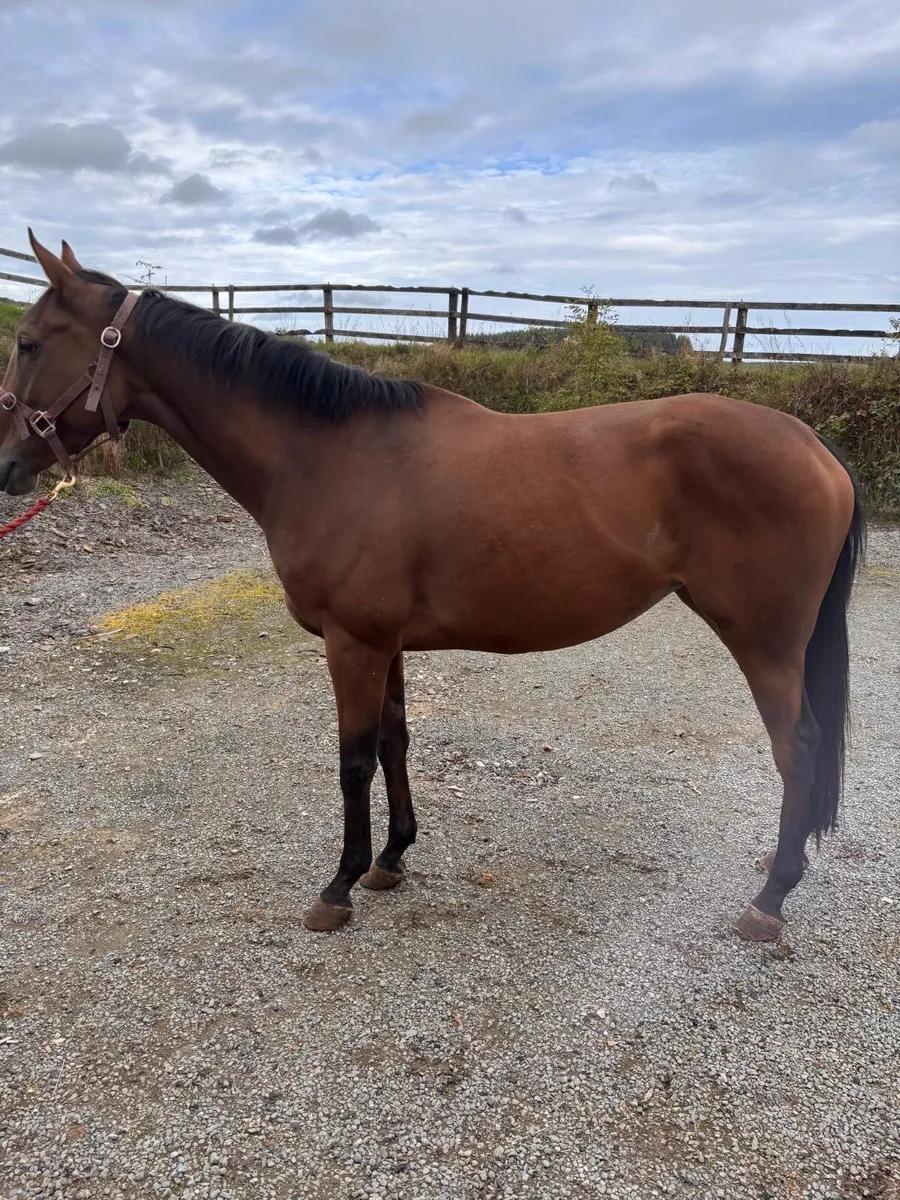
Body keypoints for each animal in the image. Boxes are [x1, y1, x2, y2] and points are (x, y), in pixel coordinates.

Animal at [0, 233, 865, 941]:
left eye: (29, 342)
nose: (6, 463)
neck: (327, 453)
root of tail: (815, 447)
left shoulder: (351, 643)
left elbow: (352, 760)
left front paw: (339, 887)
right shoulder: (385, 644)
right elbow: (394, 742)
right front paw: (391, 859)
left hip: (765, 642)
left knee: (797, 748)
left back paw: (770, 901)